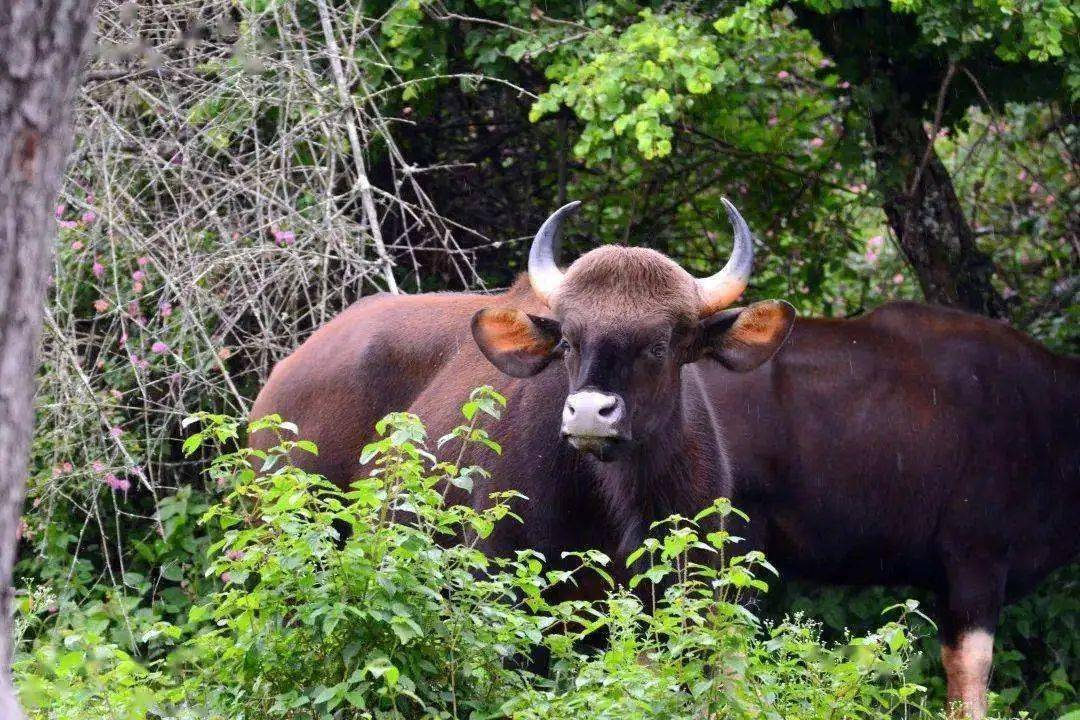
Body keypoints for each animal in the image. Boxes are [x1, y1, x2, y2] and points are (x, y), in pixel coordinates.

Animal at [248, 199, 1075, 716]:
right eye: (568, 341)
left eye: (662, 342)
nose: (589, 414)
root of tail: (284, 374)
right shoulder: (974, 559)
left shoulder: (687, 592)